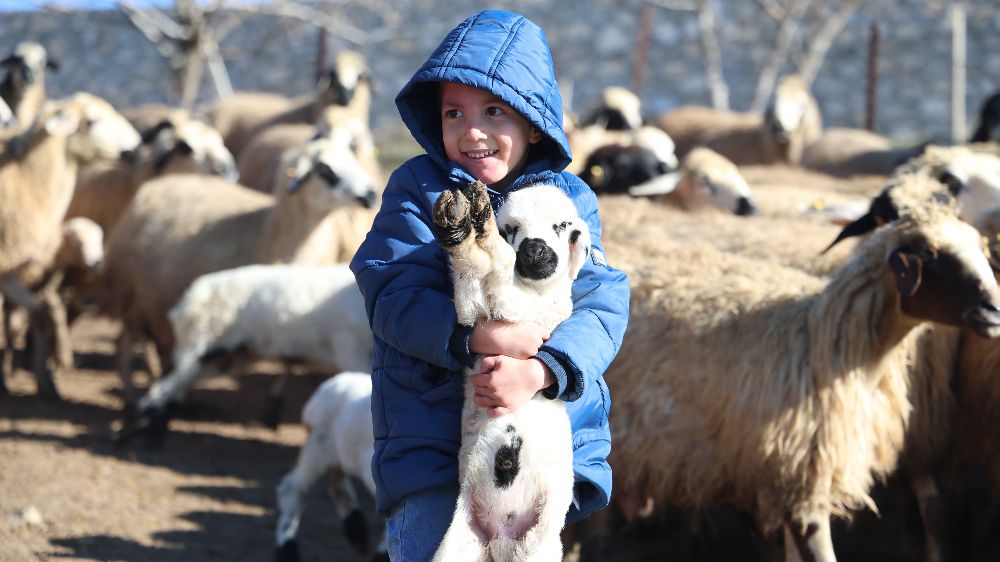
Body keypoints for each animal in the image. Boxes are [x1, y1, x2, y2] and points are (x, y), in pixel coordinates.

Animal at [0, 92, 140, 396]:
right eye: (91, 121)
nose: (136, 149)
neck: (28, 181)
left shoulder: (9, 269)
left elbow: (36, 314)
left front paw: (45, 380)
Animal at [98, 134, 378, 400]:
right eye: (325, 170)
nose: (371, 194)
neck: (268, 231)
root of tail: (161, 183)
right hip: (135, 295)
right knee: (128, 345)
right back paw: (134, 392)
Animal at [426, 180, 588, 560]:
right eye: (511, 228)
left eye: (562, 226)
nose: (533, 249)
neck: (535, 291)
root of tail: (502, 540)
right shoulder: (473, 316)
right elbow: (470, 282)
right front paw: (460, 226)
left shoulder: (535, 313)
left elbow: (501, 272)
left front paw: (481, 231)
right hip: (457, 545)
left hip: (540, 545)